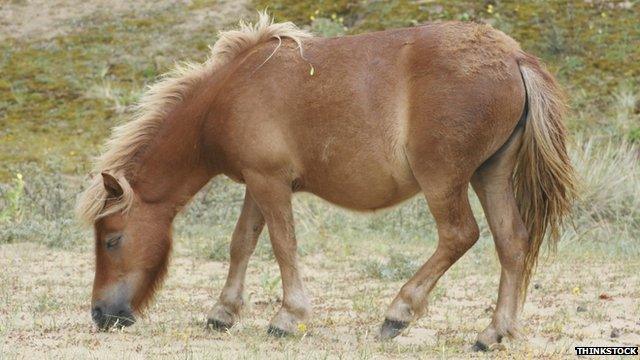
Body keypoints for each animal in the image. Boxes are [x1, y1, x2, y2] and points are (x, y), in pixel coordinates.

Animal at [77, 12, 576, 350]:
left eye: (112, 240)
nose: (102, 314)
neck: (230, 93)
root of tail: (515, 56)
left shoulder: (270, 183)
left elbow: (282, 246)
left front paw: (287, 317)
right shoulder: (258, 184)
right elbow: (242, 243)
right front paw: (223, 313)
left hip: (445, 180)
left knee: (459, 235)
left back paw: (398, 314)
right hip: (490, 175)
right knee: (511, 243)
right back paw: (494, 333)